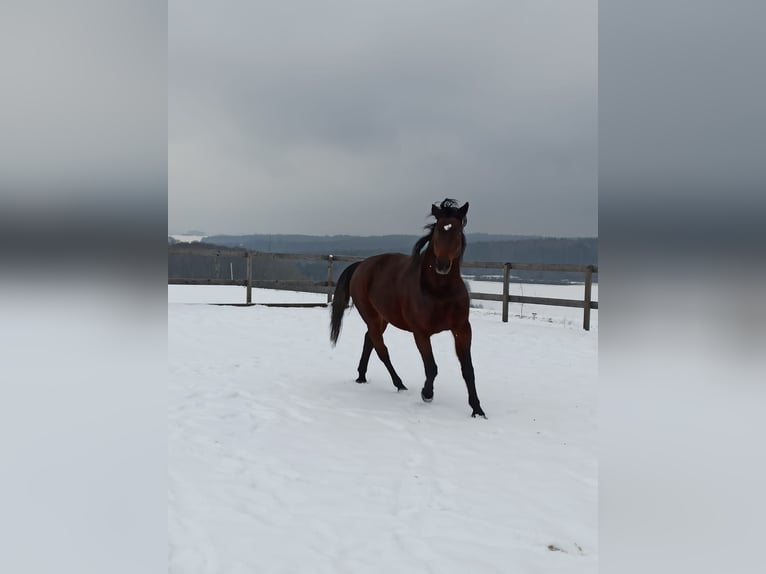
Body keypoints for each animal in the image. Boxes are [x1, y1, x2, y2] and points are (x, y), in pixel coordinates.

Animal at [330, 199, 486, 418]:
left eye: (456, 231)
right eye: (438, 230)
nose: (442, 265)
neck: (439, 291)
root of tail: (361, 265)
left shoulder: (462, 329)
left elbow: (468, 370)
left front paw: (477, 409)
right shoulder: (421, 333)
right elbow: (431, 368)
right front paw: (426, 394)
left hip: (383, 318)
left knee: (369, 341)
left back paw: (361, 377)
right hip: (371, 316)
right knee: (381, 349)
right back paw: (399, 384)